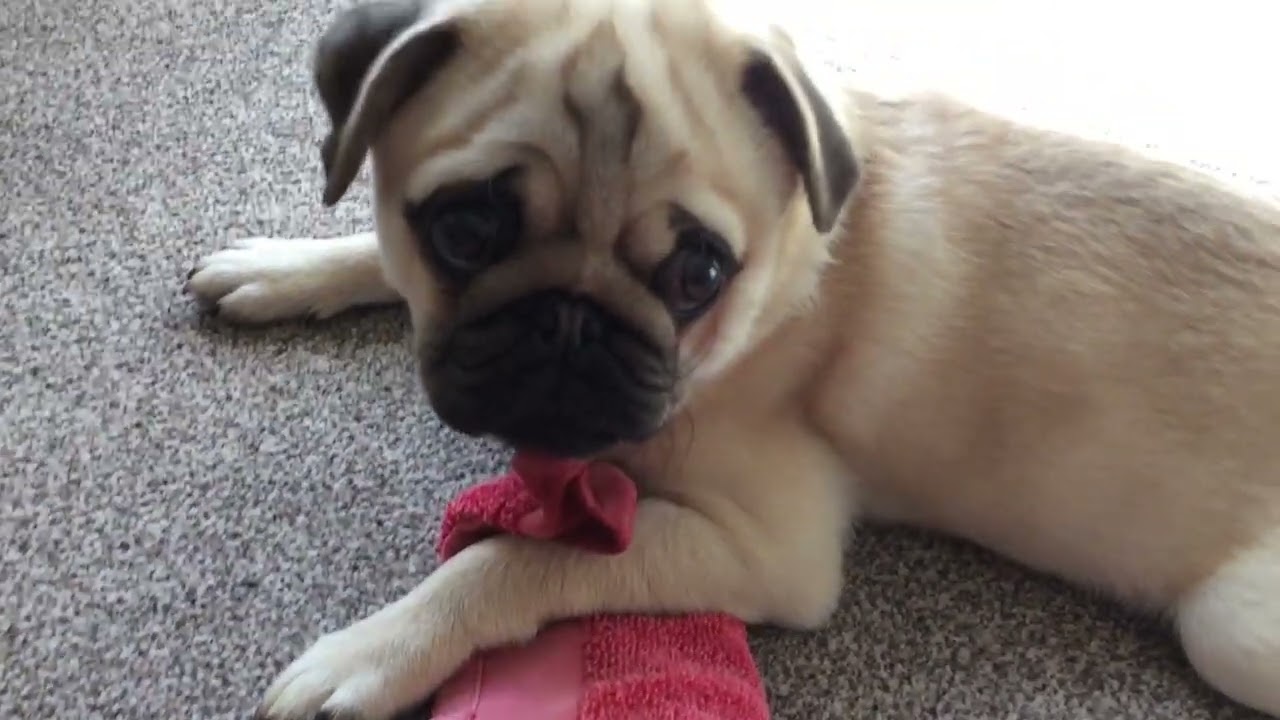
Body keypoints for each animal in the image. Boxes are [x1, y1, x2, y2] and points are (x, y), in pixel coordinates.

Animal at [185, 0, 1280, 712]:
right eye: (463, 231)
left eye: (696, 274)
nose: (567, 323)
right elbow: (370, 251)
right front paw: (287, 266)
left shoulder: (765, 551)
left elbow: (513, 561)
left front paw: (375, 650)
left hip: (1230, 633)